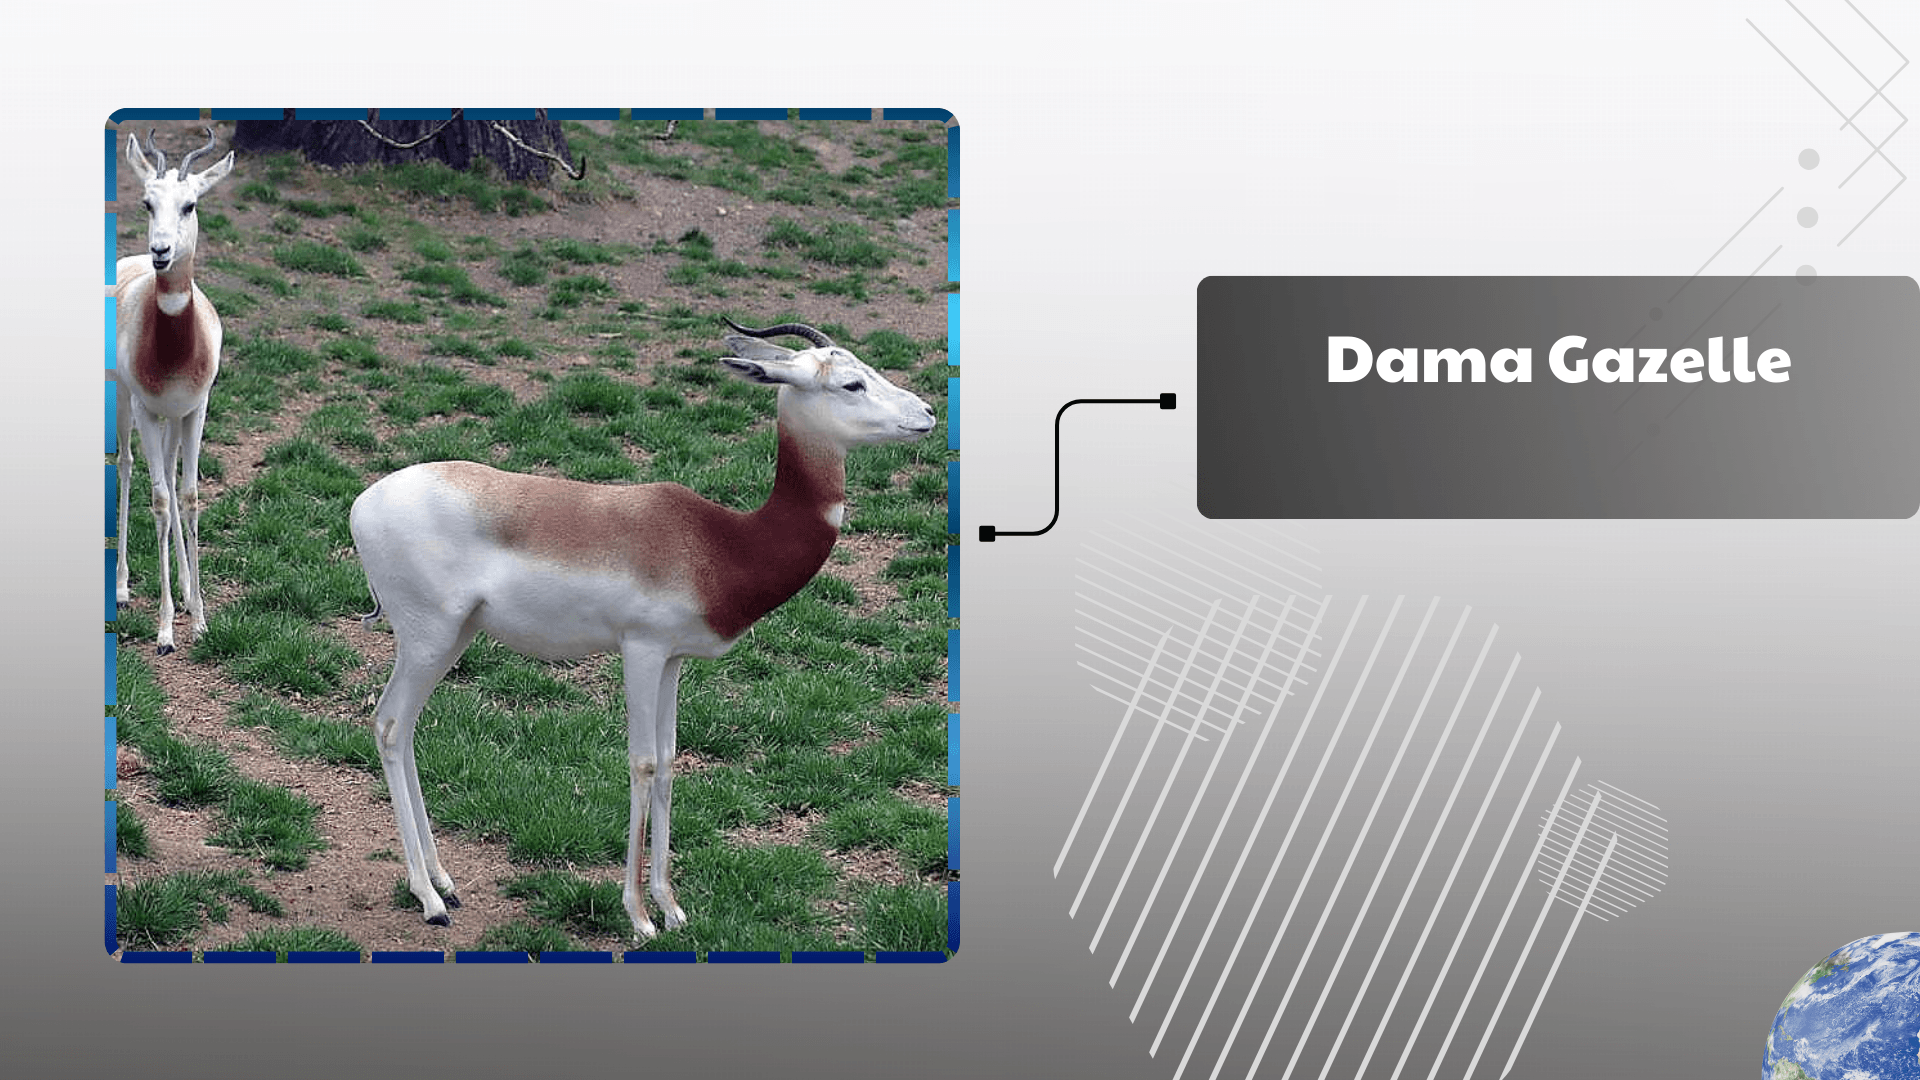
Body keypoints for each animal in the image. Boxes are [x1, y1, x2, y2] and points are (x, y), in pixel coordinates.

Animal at [350, 320, 938, 935]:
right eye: (851, 384)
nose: (926, 412)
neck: (720, 545)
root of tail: (361, 503)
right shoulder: (642, 649)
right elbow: (644, 762)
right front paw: (638, 915)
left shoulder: (674, 659)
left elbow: (672, 761)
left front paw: (671, 905)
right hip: (429, 638)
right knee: (389, 725)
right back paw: (428, 898)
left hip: (455, 637)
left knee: (406, 730)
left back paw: (444, 881)